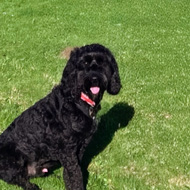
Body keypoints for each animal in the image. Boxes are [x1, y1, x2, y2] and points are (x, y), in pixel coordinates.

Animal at [0, 43, 121, 189]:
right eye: (84, 63)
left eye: (102, 62)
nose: (94, 78)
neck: (78, 101)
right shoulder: (67, 150)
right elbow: (74, 174)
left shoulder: (80, 147)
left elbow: (73, 171)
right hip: (11, 159)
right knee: (15, 178)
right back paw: (32, 186)